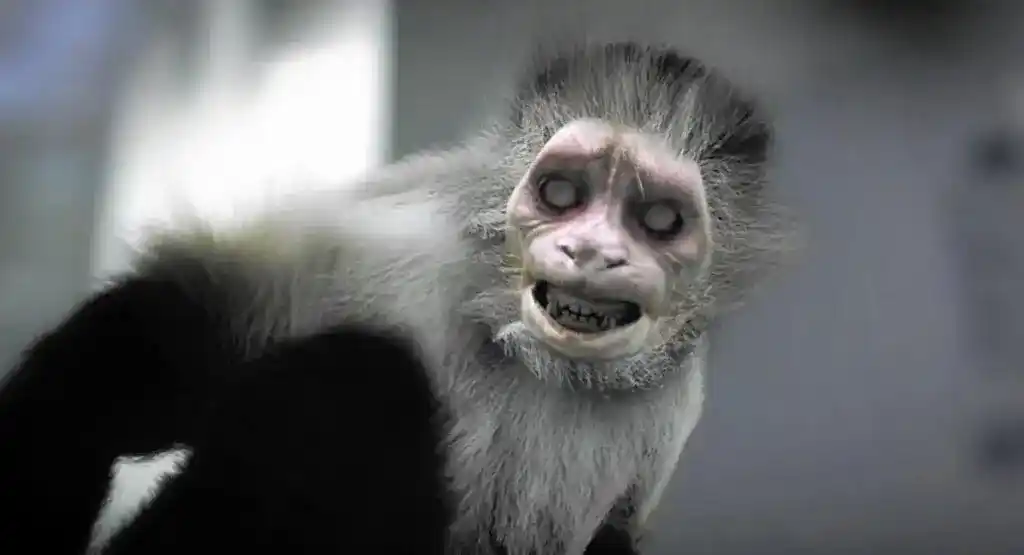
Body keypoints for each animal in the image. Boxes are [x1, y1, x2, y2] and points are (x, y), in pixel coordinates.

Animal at [0, 41, 795, 555]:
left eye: (657, 219)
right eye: (562, 194)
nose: (592, 250)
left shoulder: (669, 407)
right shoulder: (405, 257)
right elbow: (121, 373)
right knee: (355, 381)